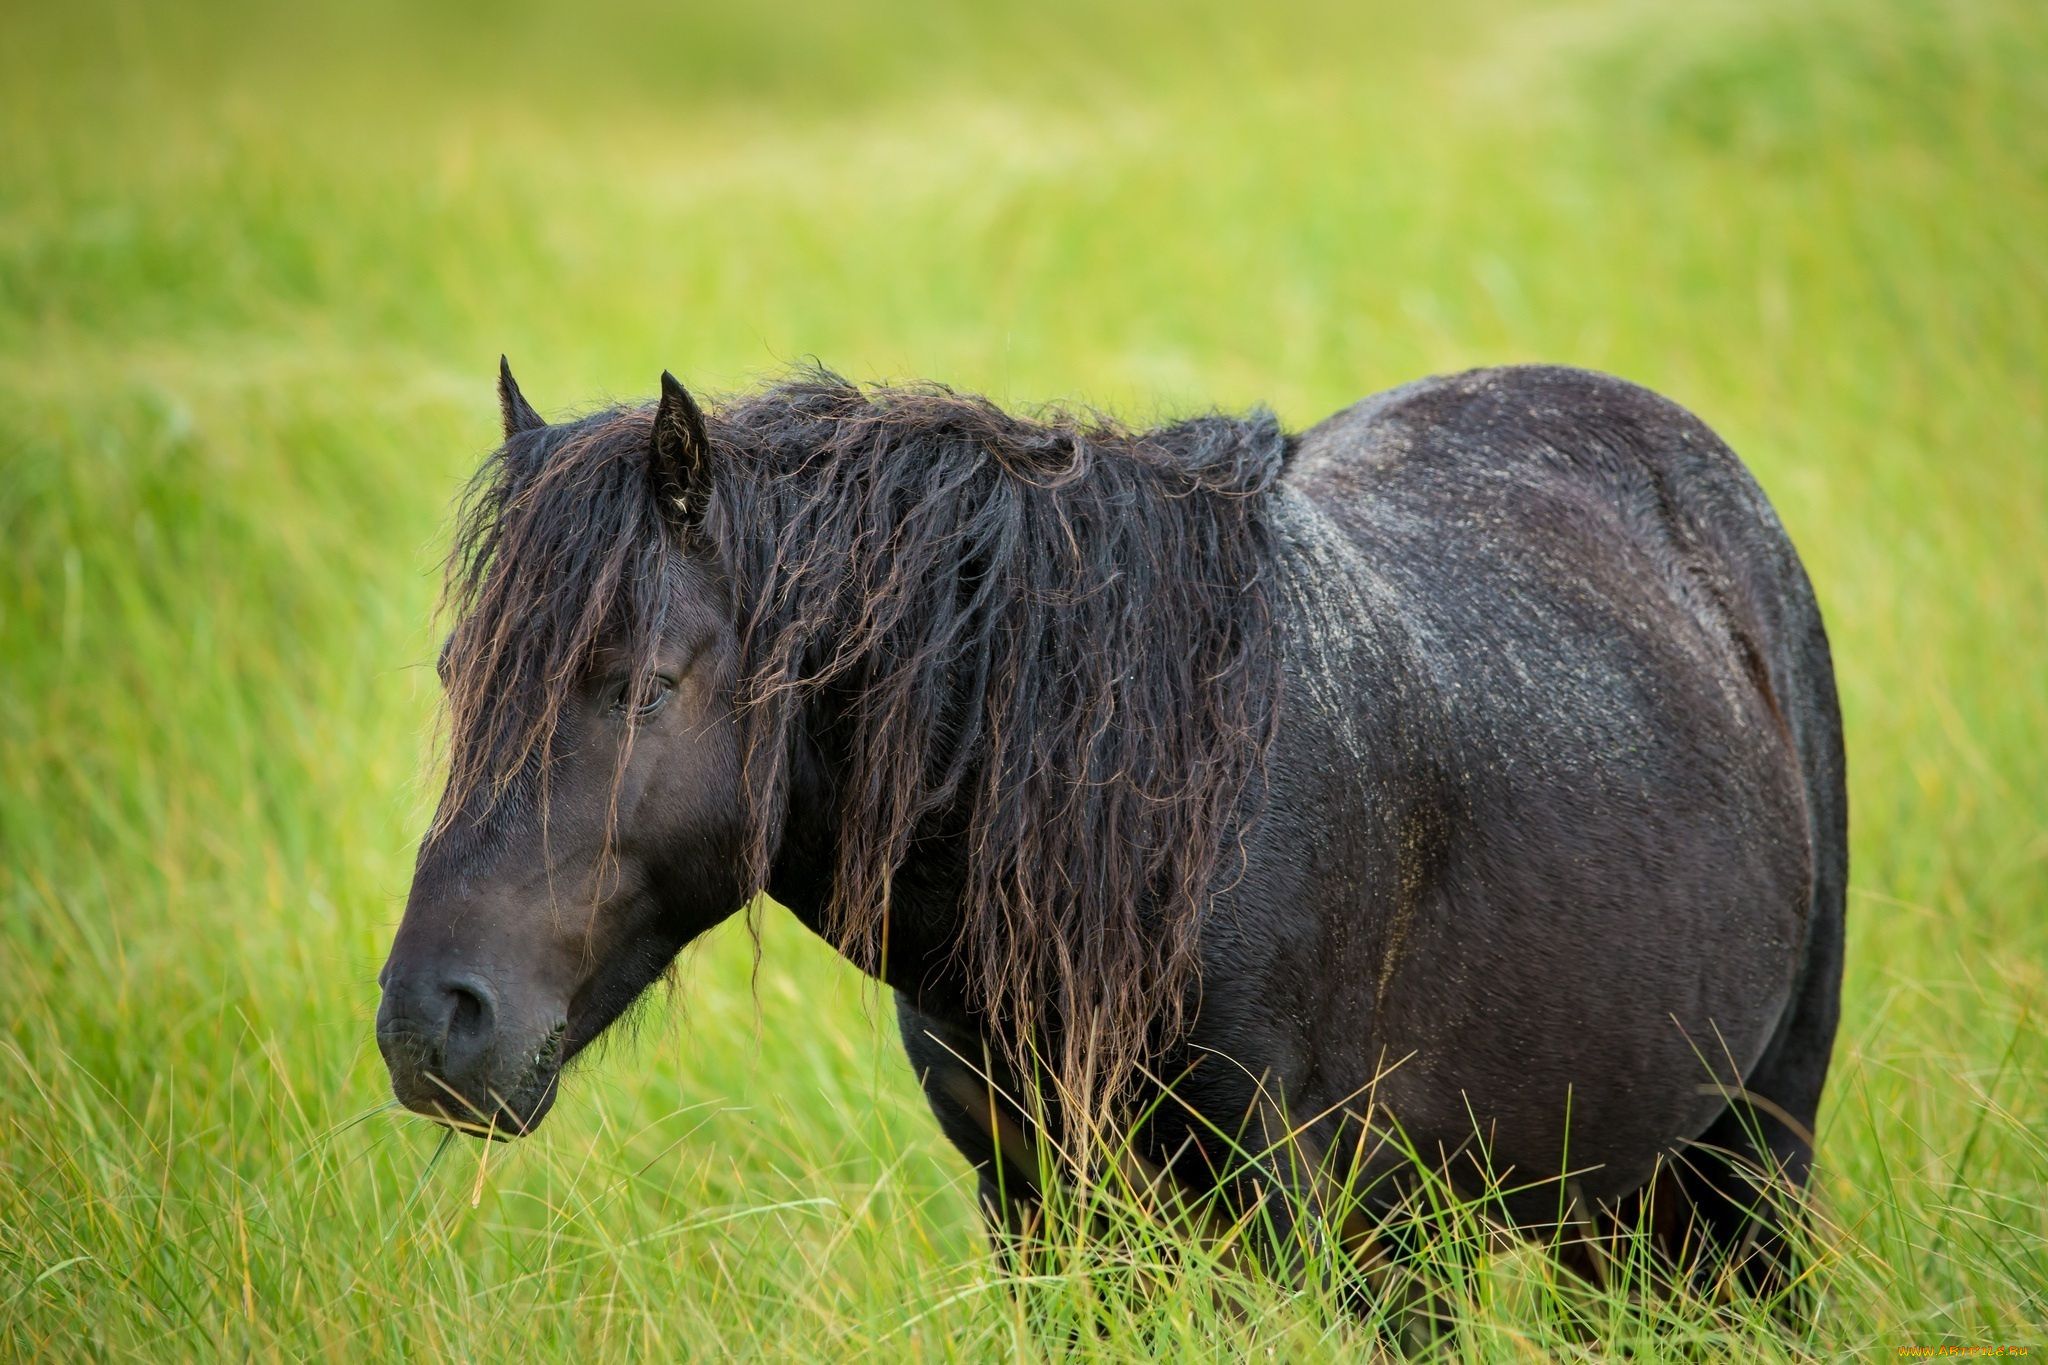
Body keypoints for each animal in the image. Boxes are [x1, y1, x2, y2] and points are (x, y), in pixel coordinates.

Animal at [376, 360, 1851, 1309]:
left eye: (639, 686)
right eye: (454, 671)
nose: (429, 1023)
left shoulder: (1289, 1211)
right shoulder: (1038, 1209)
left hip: (1751, 1158)